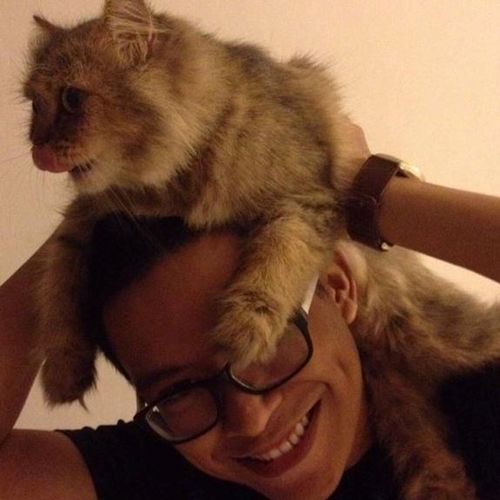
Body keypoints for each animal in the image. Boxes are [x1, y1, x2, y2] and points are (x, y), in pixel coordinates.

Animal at [23, 1, 500, 498]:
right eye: (33, 103)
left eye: (72, 99)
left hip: (443, 333)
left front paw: (247, 328)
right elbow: (57, 284)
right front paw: (63, 365)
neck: (173, 192)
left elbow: (275, 260)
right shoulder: (87, 219)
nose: (36, 149)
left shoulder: (306, 202)